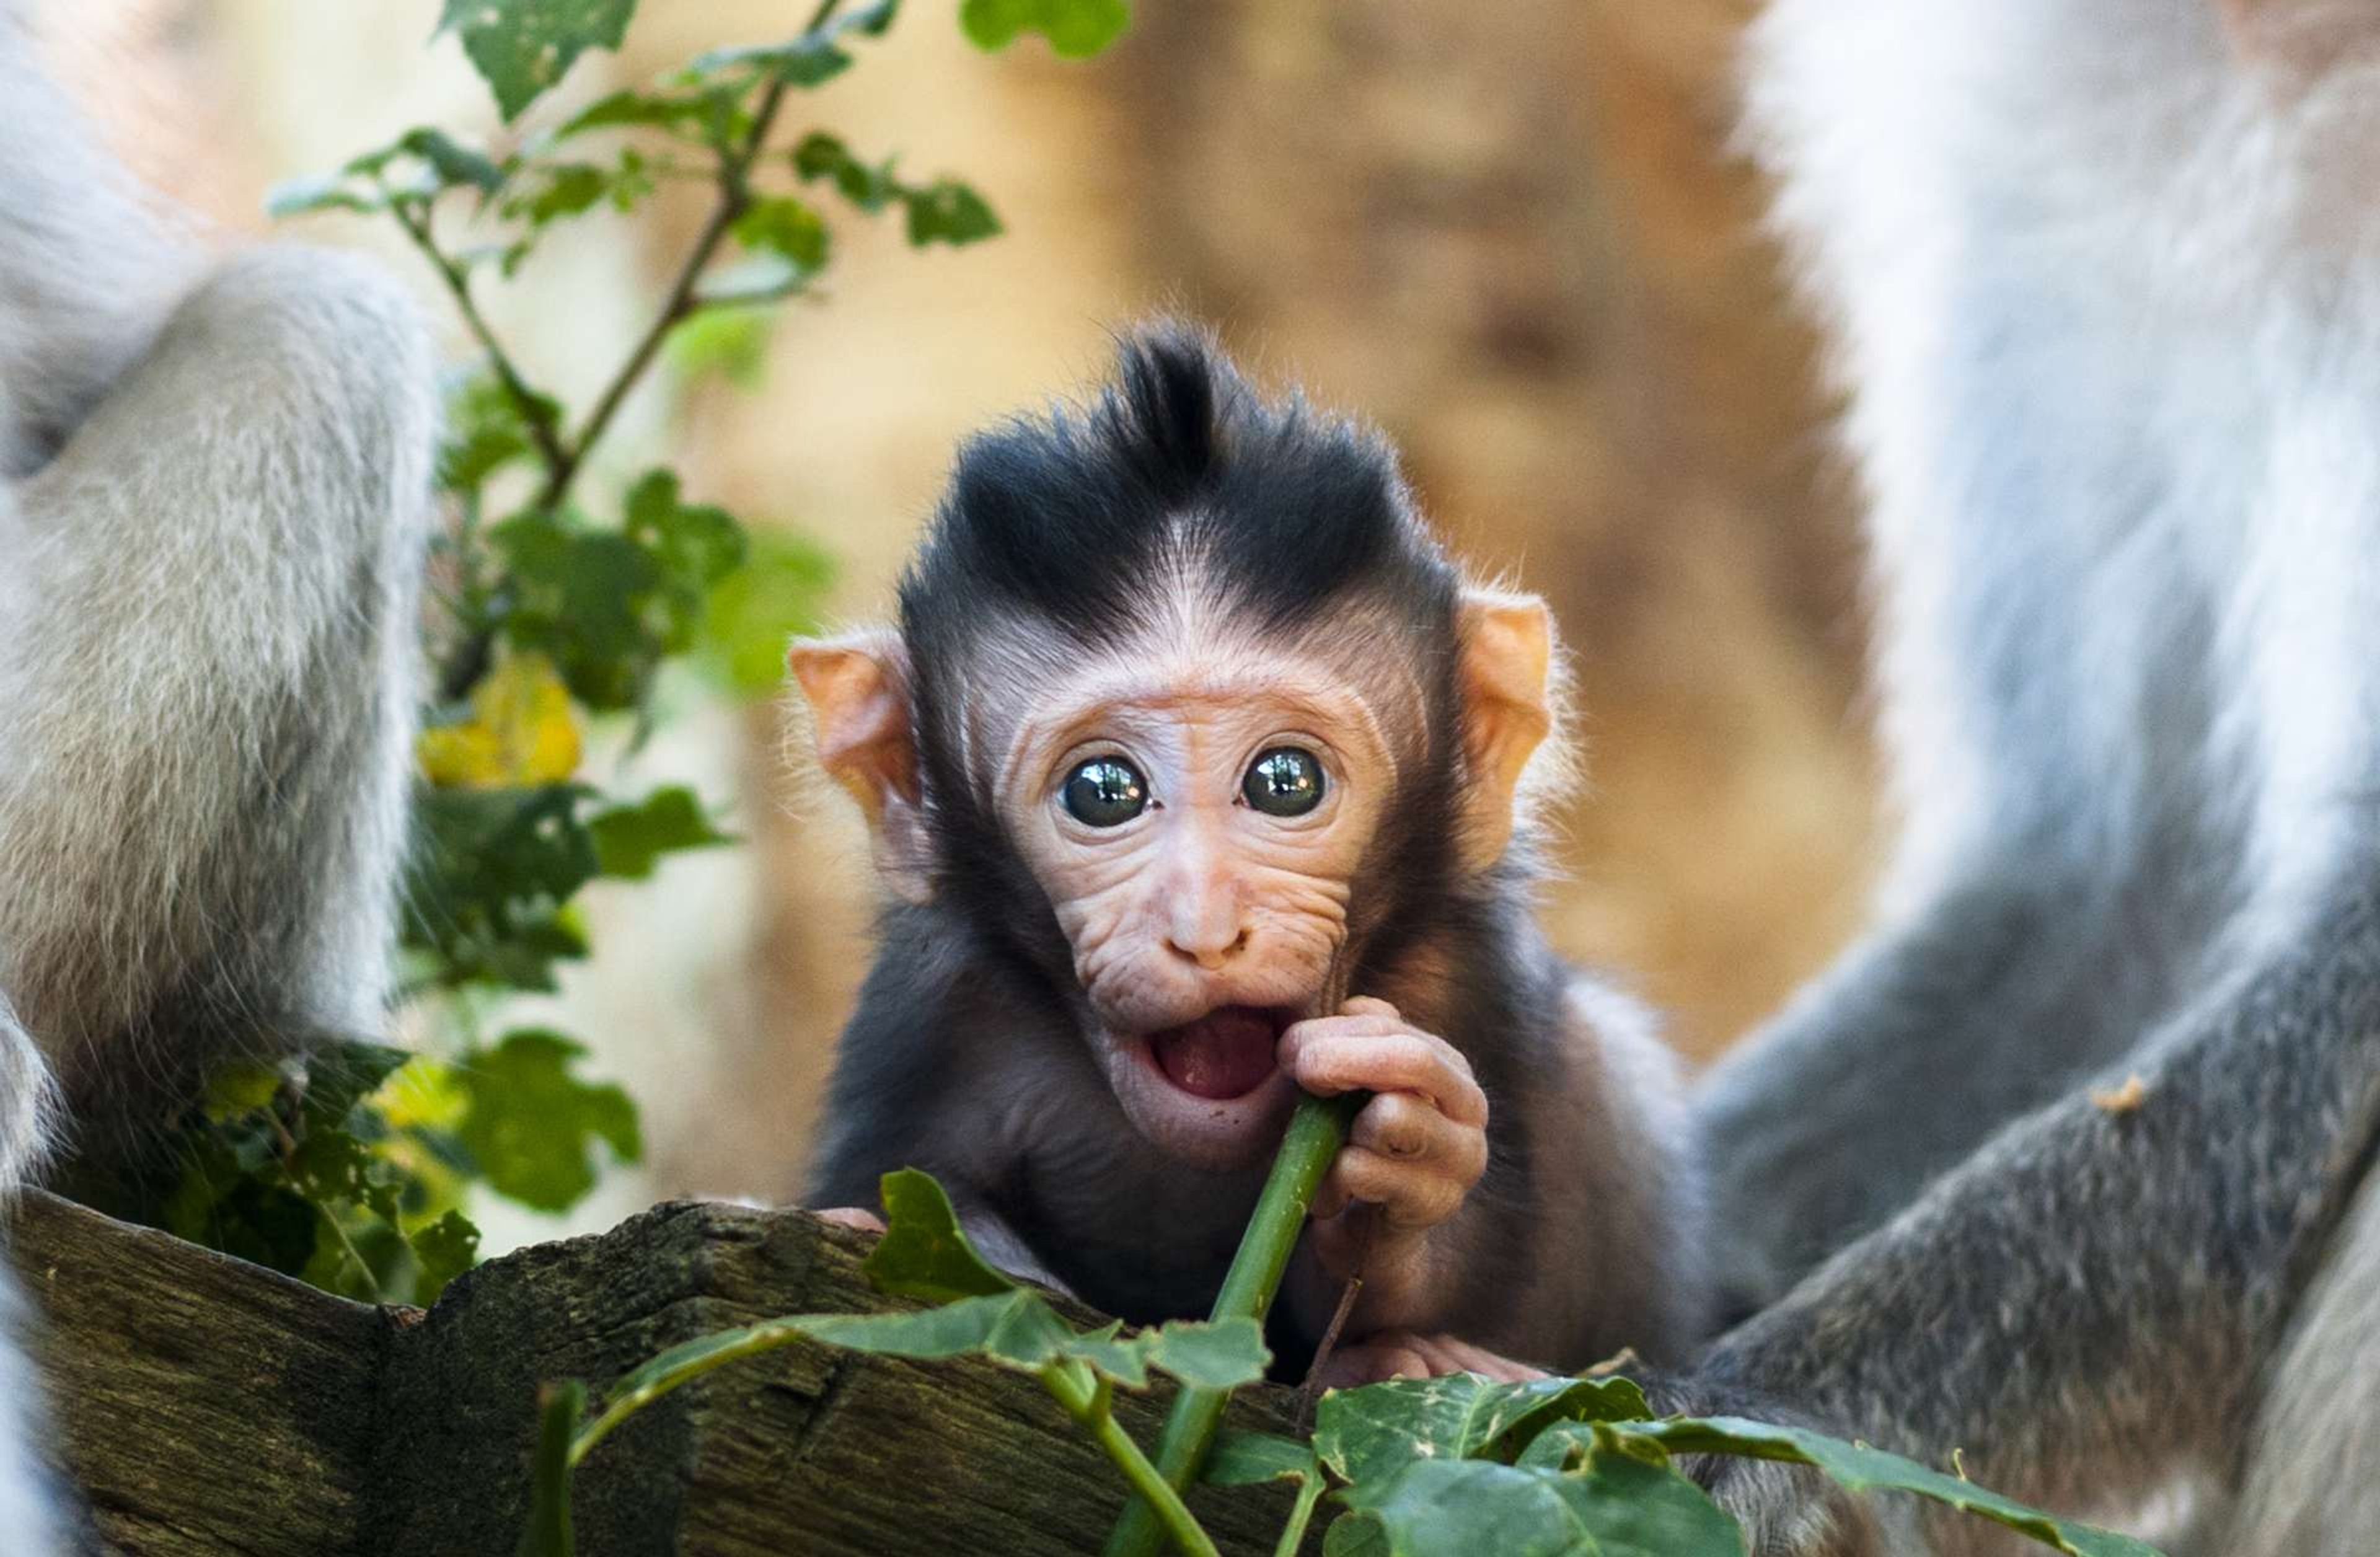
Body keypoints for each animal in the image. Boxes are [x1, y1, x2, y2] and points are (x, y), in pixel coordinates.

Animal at [800, 329, 1713, 1380]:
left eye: (1286, 782)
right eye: (1102, 792)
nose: (1205, 930)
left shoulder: (1461, 978)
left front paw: (1408, 1166)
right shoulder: (936, 1012)